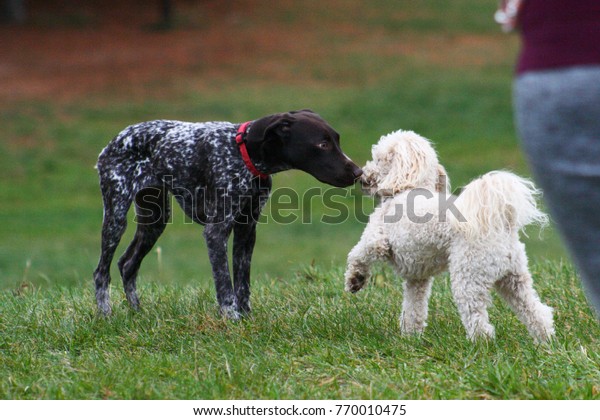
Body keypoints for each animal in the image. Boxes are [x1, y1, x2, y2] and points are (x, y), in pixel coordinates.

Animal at [95, 109, 360, 318]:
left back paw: (137, 313)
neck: (244, 154)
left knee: (127, 265)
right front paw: (231, 319)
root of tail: (114, 141)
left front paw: (246, 318)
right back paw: (105, 316)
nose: (358, 172)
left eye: (336, 140)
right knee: (101, 273)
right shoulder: (216, 232)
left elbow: (242, 283)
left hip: (155, 221)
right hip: (116, 218)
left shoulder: (247, 230)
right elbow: (224, 284)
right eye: (322, 144)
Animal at [344, 130, 556, 342]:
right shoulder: (418, 277)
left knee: (477, 318)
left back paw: (480, 343)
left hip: (469, 275)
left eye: (379, 158)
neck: (408, 189)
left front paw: (355, 280)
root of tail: (501, 226)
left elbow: (357, 254)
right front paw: (411, 336)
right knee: (535, 310)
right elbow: (414, 307)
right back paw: (545, 340)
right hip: (514, 277)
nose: (361, 175)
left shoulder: (376, 238)